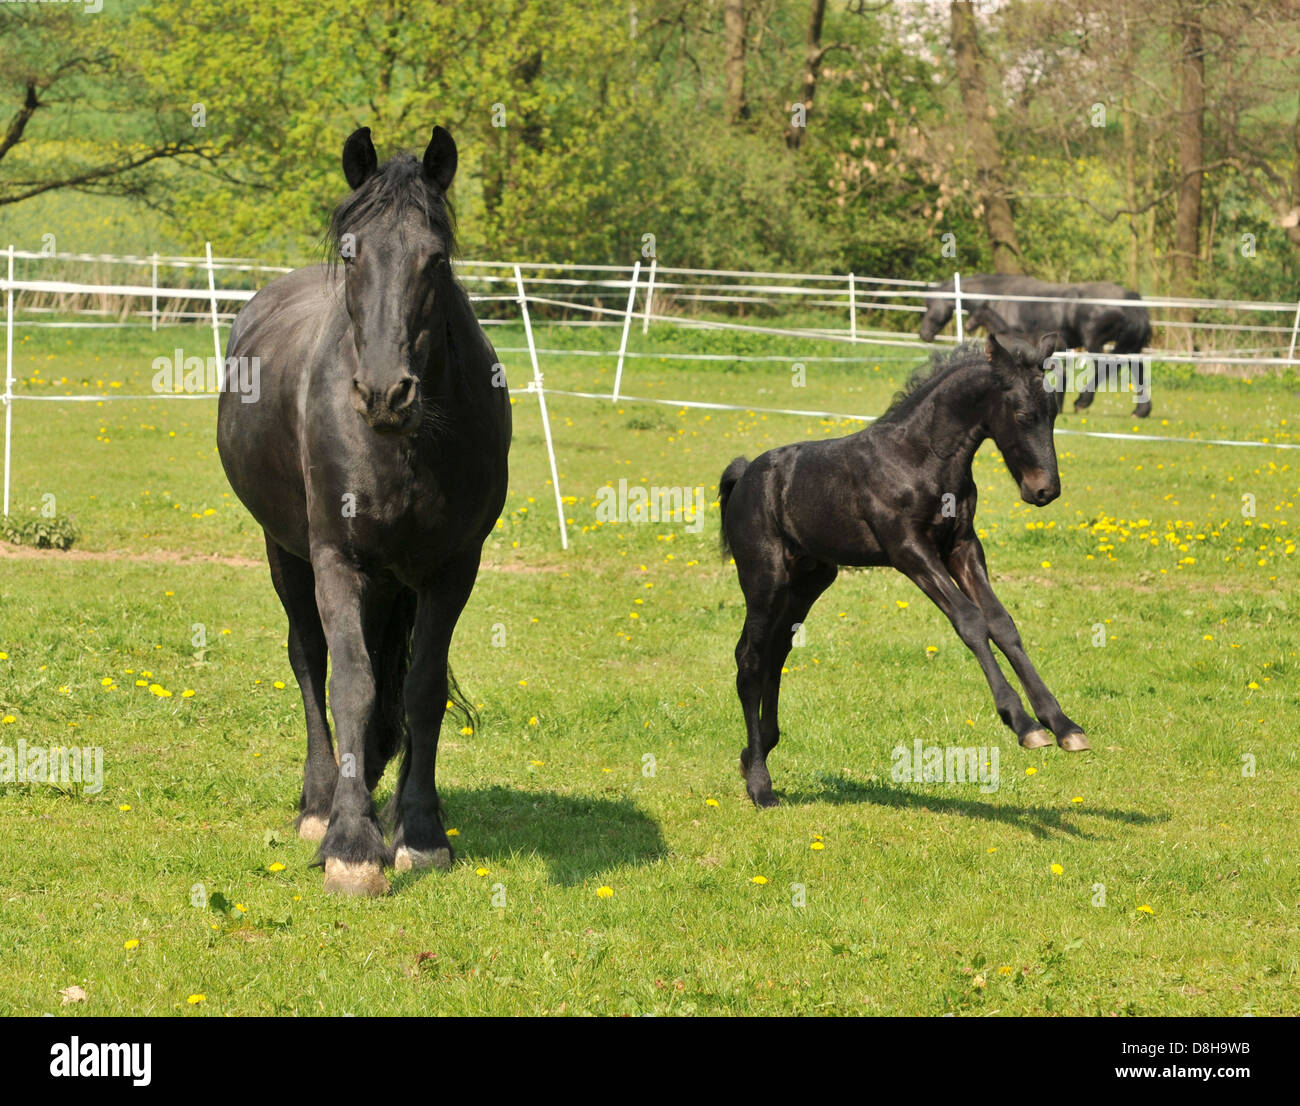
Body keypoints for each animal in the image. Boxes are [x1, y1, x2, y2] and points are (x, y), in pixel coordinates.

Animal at [218, 125, 506, 894]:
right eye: (351, 255)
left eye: (436, 259)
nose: (384, 393)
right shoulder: (335, 559)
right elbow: (350, 682)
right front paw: (351, 843)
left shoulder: (451, 568)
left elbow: (421, 688)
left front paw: (421, 832)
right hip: (285, 552)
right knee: (309, 660)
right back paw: (322, 801)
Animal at [722, 332, 1086, 810]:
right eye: (1023, 415)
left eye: (1054, 413)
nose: (1044, 490)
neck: (920, 457)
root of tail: (745, 476)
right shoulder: (910, 551)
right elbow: (970, 621)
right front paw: (1023, 724)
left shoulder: (963, 547)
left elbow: (1002, 624)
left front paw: (1062, 725)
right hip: (765, 579)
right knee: (750, 657)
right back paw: (759, 783)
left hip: (811, 580)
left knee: (776, 652)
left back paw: (755, 751)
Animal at [920, 274, 1154, 418]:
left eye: (930, 304)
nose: (924, 334)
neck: (1000, 297)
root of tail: (1133, 302)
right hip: (1131, 347)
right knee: (1138, 370)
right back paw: (1140, 411)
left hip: (1094, 342)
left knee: (1103, 367)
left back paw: (1082, 402)